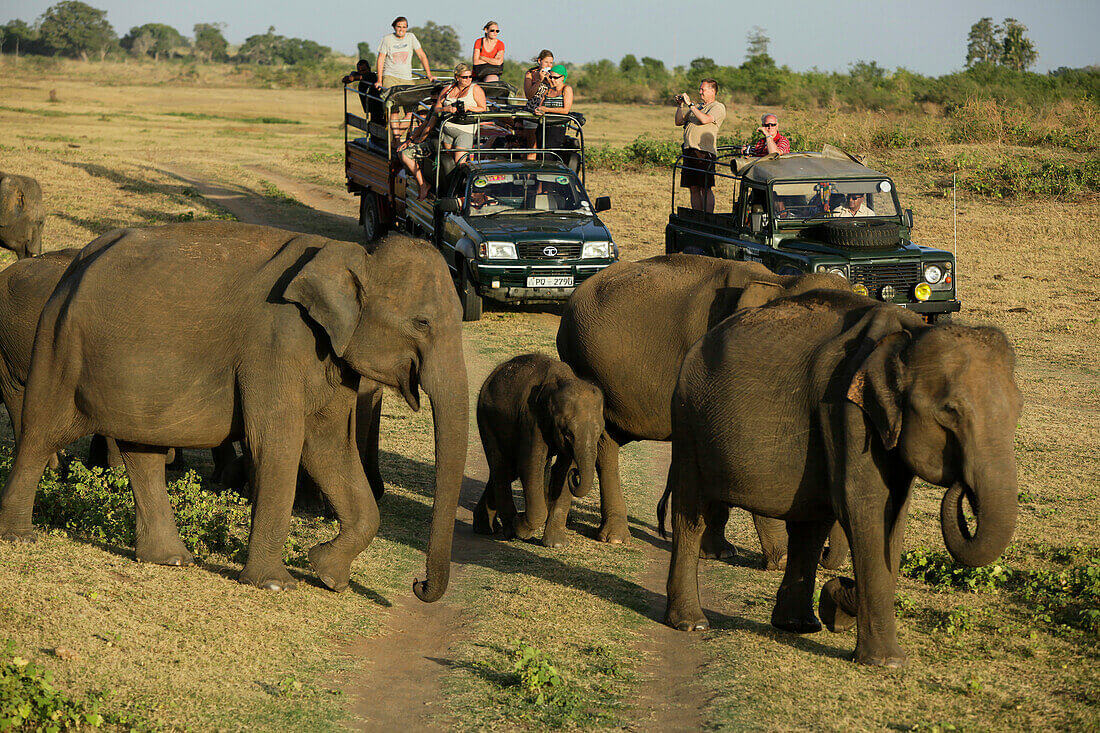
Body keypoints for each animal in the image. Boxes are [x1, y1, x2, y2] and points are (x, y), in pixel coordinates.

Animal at [0, 222, 468, 601]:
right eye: (422, 322)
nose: (419, 585)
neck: (350, 252)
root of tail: (76, 262)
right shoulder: (275, 344)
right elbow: (280, 443)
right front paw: (276, 584)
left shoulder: (331, 359)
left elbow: (330, 448)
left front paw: (329, 575)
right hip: (61, 345)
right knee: (41, 432)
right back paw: (19, 537)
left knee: (144, 451)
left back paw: (170, 559)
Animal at [472, 353, 603, 548]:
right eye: (568, 433)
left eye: (600, 433)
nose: (576, 474)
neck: (562, 380)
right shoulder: (532, 419)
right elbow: (529, 466)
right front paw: (520, 526)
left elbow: (562, 471)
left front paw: (556, 544)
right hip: (486, 417)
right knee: (502, 467)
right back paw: (507, 529)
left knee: (508, 471)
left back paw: (487, 528)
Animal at [557, 253, 850, 567]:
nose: (825, 555)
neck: (780, 281)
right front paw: (778, 560)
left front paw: (721, 551)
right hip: (584, 365)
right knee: (603, 444)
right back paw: (616, 538)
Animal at [660, 288, 1022, 667]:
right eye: (950, 412)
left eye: (1018, 408)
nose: (963, 488)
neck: (909, 335)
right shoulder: (844, 410)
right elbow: (864, 509)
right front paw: (886, 662)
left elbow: (892, 517)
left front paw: (837, 607)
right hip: (688, 419)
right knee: (691, 512)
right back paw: (691, 623)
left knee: (809, 524)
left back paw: (798, 625)